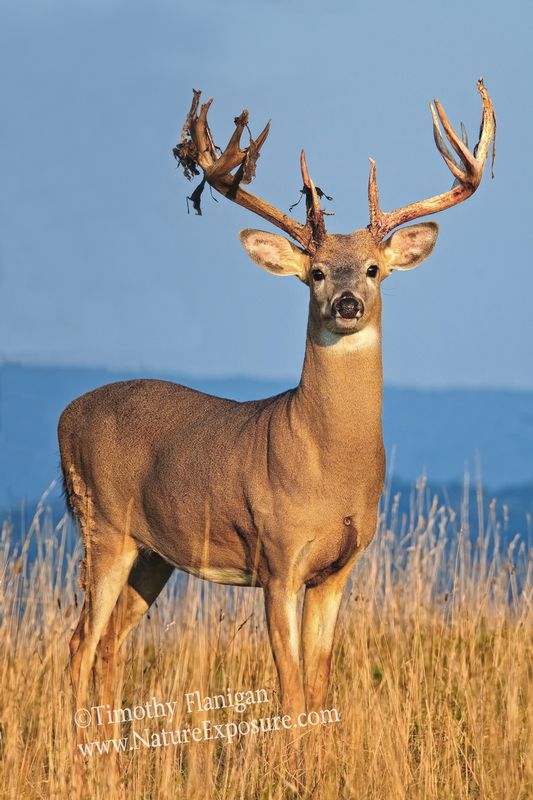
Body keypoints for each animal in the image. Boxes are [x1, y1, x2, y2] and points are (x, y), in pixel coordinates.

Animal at [59, 80, 495, 740]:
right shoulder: (277, 557)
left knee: (108, 642)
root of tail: (64, 415)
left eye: (375, 269)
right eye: (314, 272)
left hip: (151, 554)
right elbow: (288, 687)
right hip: (101, 525)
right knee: (78, 643)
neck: (327, 465)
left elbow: (318, 685)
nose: (346, 302)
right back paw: (76, 751)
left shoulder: (338, 568)